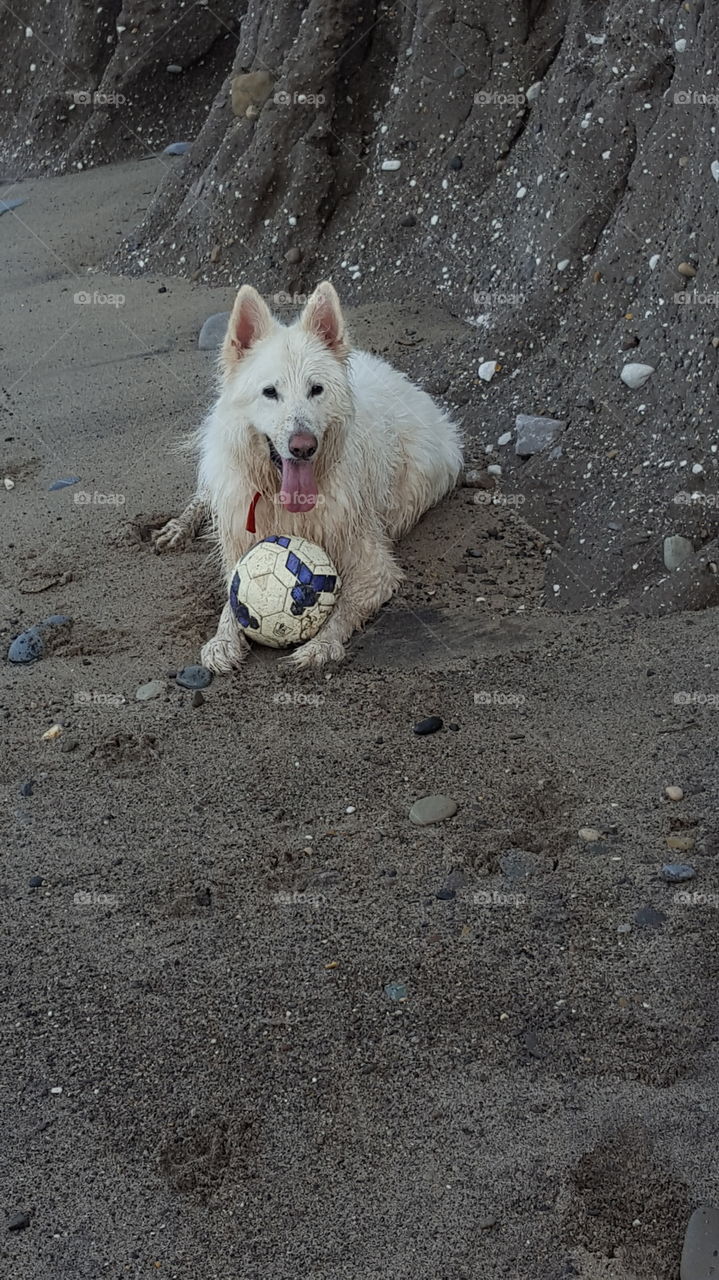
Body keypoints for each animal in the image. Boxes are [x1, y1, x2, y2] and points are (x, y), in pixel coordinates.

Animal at [154, 284, 460, 675]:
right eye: (270, 392)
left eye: (316, 389)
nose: (303, 446)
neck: (284, 504)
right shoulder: (240, 546)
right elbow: (232, 603)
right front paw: (223, 641)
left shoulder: (374, 566)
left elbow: (344, 606)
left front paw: (322, 644)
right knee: (204, 495)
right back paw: (178, 527)